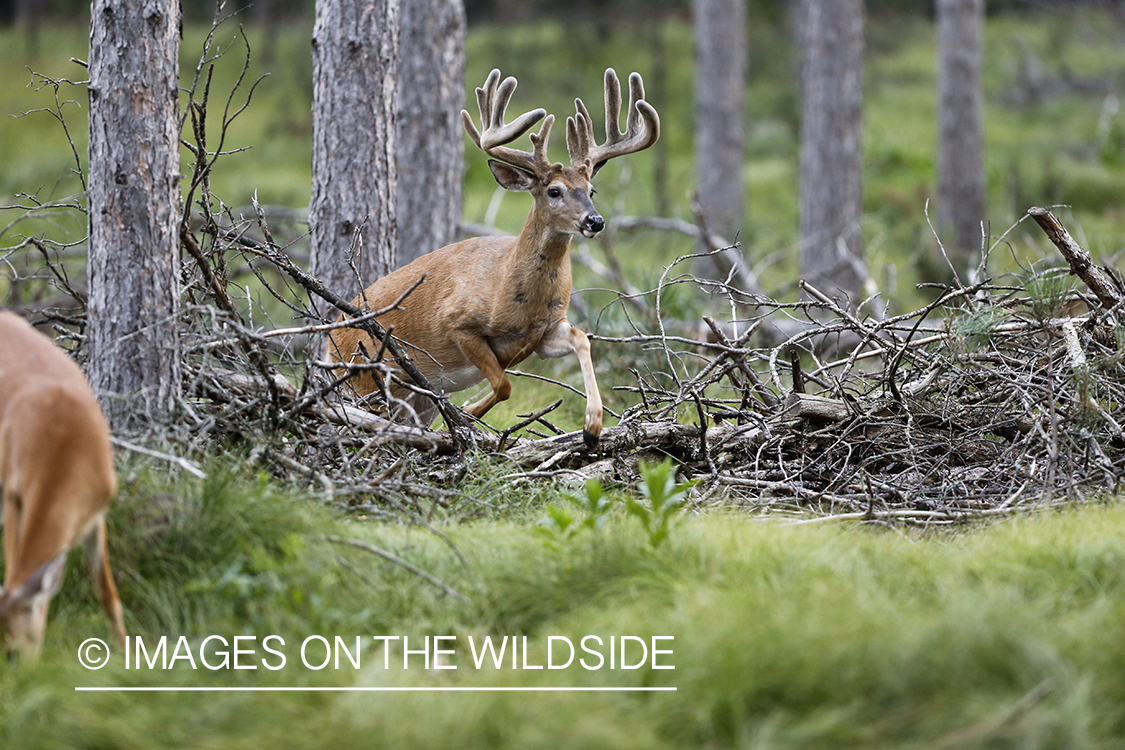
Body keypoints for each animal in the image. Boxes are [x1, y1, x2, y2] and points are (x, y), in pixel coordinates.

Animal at [326, 67, 657, 445]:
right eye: (554, 191)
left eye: (591, 190)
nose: (595, 221)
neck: (511, 293)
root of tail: (330, 335)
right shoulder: (458, 323)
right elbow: (504, 384)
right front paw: (468, 412)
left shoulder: (544, 334)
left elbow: (582, 339)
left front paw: (592, 426)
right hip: (364, 376)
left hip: (405, 397)